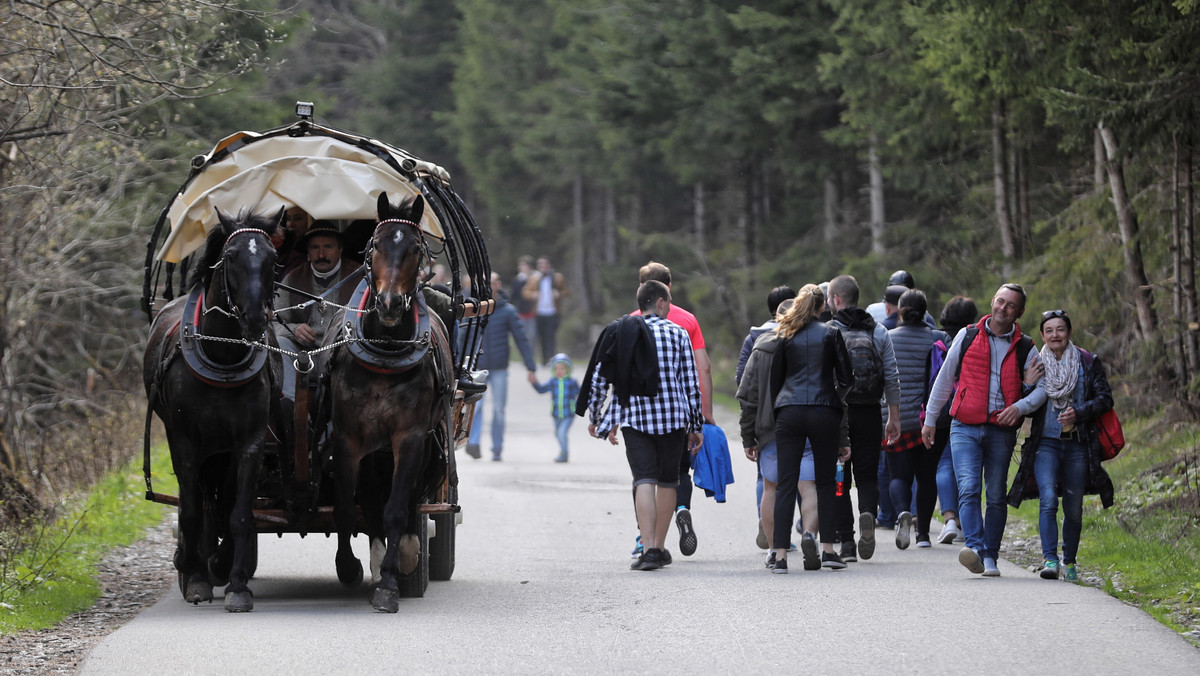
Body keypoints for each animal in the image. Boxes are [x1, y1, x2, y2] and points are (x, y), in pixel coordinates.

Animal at [143, 210, 280, 614]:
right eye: (231, 256)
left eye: (273, 258)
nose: (254, 319)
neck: (223, 357)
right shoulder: (185, 444)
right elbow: (190, 512)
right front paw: (196, 578)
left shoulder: (248, 444)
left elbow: (240, 513)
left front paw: (236, 585)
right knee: (199, 503)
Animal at [324, 192, 453, 614]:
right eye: (377, 244)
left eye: (414, 248)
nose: (390, 303)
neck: (384, 351)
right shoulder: (348, 439)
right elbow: (347, 506)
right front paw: (348, 567)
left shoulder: (410, 438)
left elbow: (396, 509)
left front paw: (391, 582)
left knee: (405, 502)